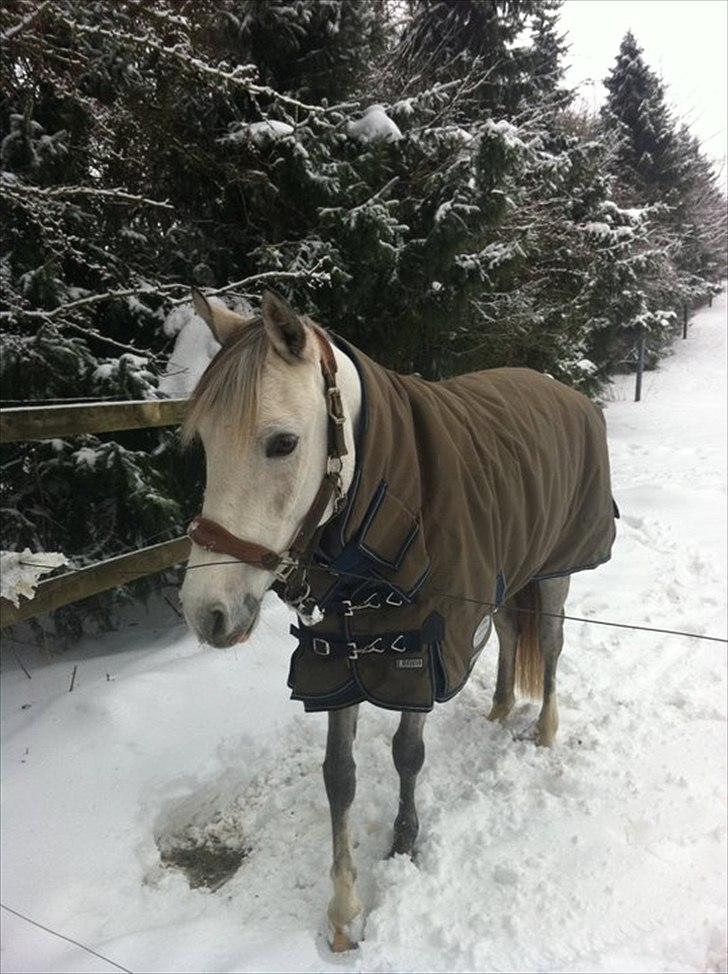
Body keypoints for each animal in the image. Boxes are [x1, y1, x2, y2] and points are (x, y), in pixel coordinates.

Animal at [179, 288, 616, 952]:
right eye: (204, 442)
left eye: (282, 443)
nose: (207, 612)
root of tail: (561, 388)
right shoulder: (339, 656)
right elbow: (339, 775)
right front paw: (343, 914)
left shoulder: (421, 649)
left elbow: (408, 754)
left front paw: (404, 844)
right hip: (507, 577)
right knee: (509, 636)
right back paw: (498, 708)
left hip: (554, 570)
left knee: (550, 641)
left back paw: (542, 731)